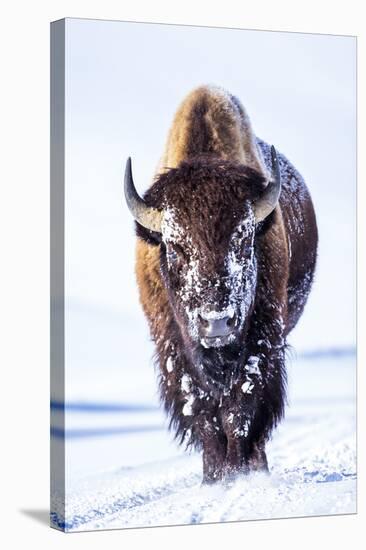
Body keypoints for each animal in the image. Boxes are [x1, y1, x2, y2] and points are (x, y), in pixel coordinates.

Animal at [123, 84, 318, 486]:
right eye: (175, 248)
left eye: (244, 242)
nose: (216, 323)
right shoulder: (174, 349)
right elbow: (202, 412)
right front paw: (214, 478)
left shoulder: (262, 340)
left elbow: (240, 408)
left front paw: (238, 473)